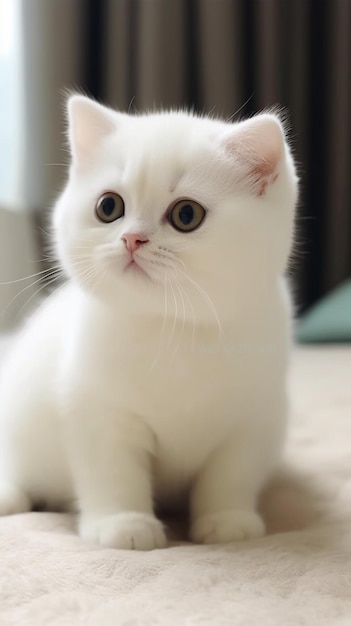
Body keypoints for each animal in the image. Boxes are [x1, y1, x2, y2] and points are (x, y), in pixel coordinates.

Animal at [0, 95, 298, 548]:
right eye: (109, 207)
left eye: (186, 214)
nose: (131, 239)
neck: (172, 327)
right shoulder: (97, 409)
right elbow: (113, 472)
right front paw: (123, 524)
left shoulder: (254, 417)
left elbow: (231, 475)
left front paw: (227, 521)